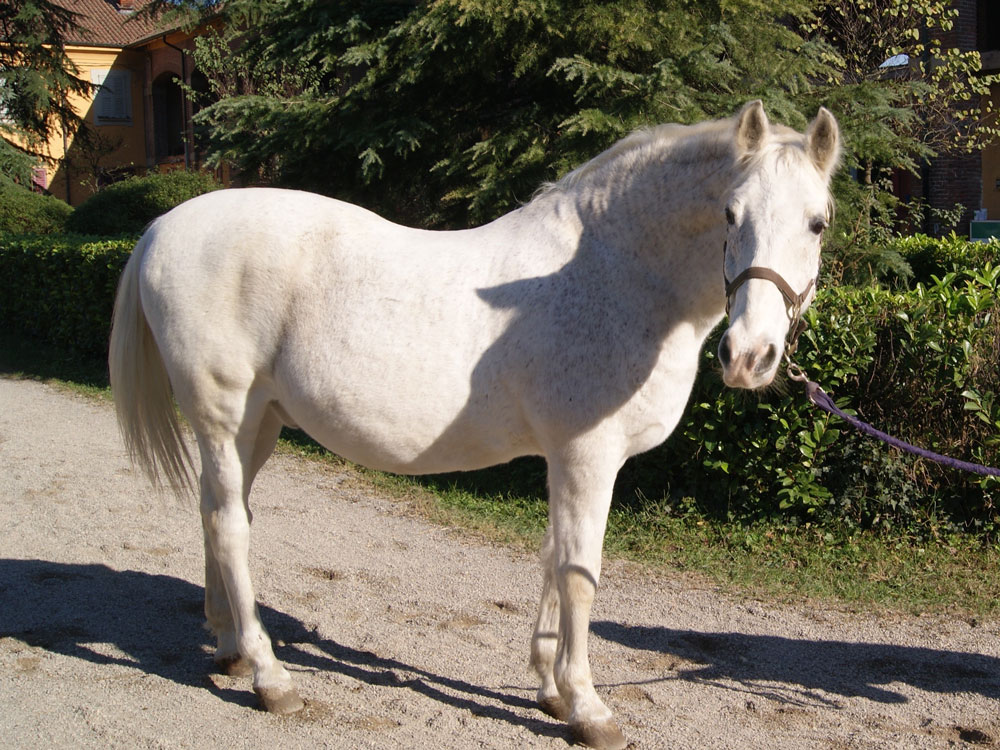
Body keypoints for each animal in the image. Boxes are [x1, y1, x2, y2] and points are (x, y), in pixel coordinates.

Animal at [108, 100, 840, 749]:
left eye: (817, 223)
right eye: (730, 213)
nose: (749, 357)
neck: (616, 272)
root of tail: (163, 226)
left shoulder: (563, 459)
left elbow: (552, 558)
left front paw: (549, 689)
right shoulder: (587, 455)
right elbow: (580, 571)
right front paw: (588, 708)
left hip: (258, 423)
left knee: (220, 515)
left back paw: (231, 649)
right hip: (222, 413)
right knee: (232, 528)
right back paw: (271, 677)